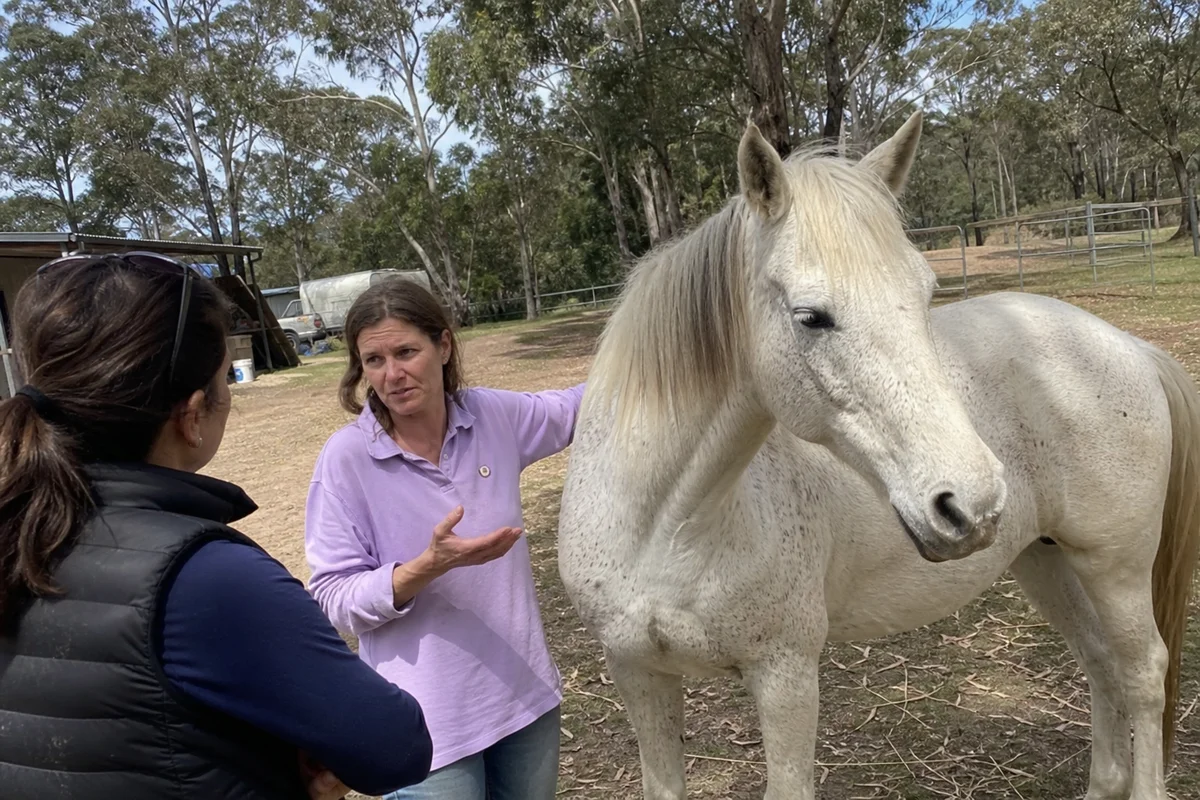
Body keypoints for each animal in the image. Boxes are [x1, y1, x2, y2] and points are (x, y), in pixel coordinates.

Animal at [556, 111, 1200, 800]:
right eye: (812, 316)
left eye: (926, 295)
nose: (970, 503)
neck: (666, 527)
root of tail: (1132, 347)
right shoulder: (638, 676)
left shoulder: (785, 677)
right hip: (1046, 560)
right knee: (1101, 662)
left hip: (1114, 567)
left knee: (1142, 672)